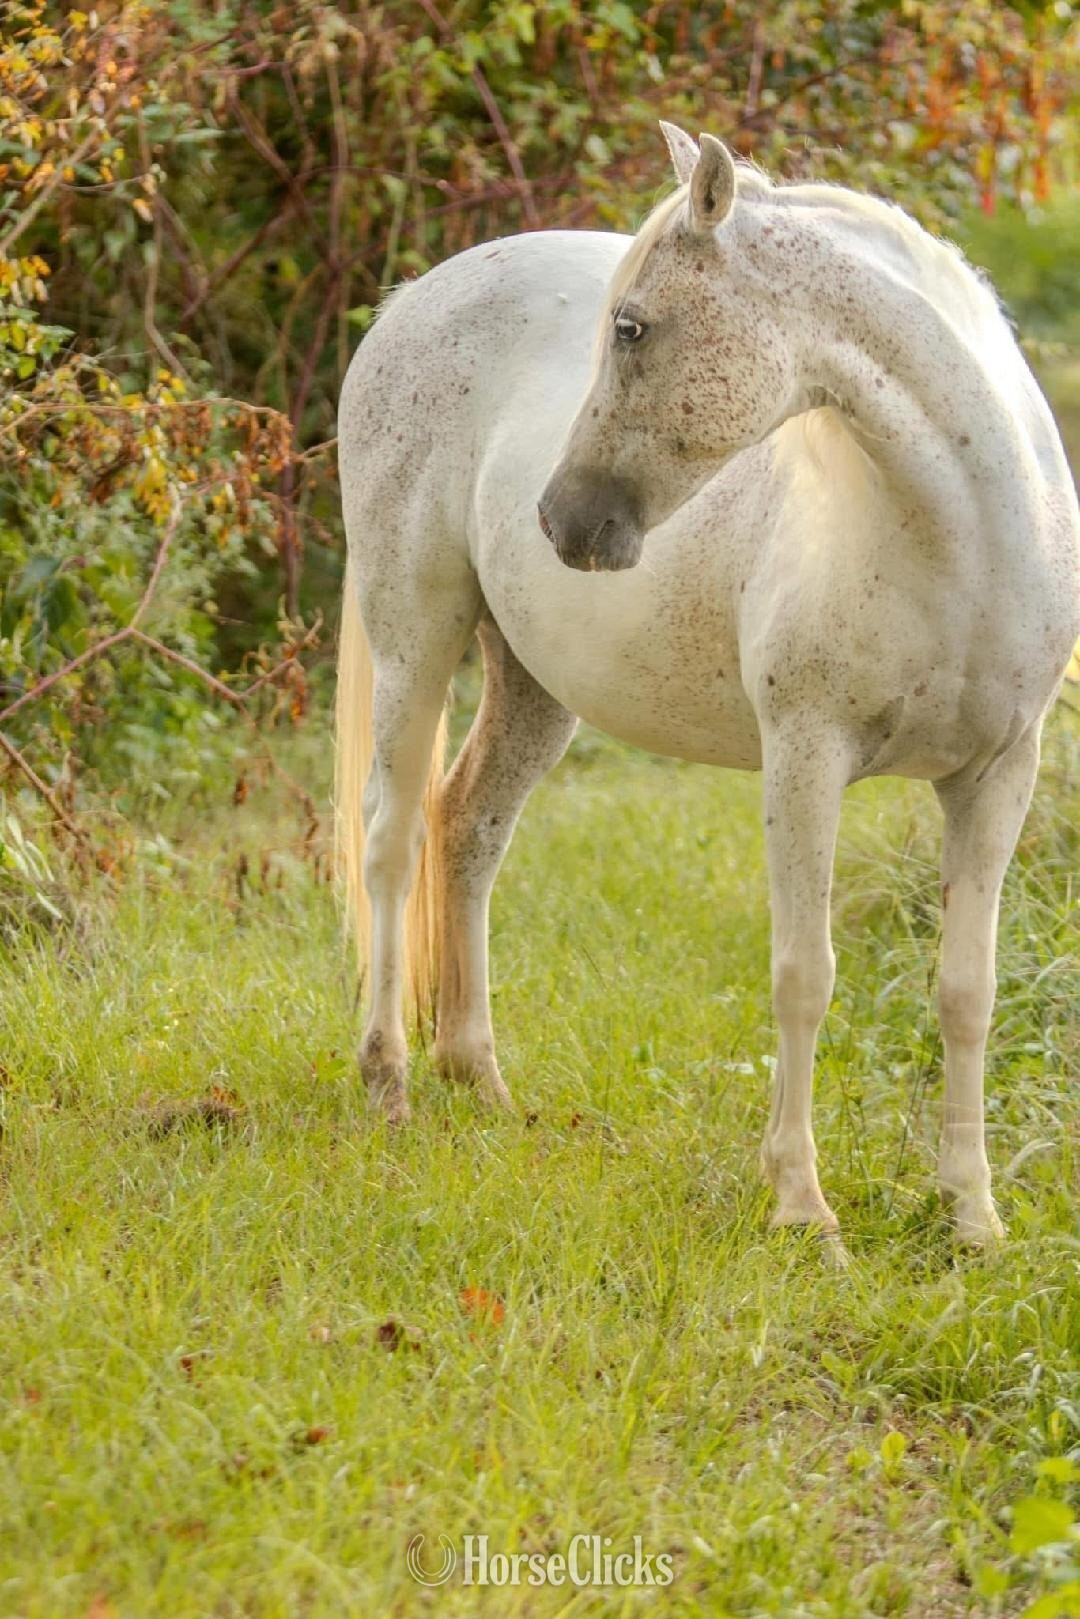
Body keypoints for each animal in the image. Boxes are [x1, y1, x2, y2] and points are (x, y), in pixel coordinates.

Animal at [334, 124, 1080, 1249]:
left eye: (632, 327)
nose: (561, 517)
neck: (972, 537)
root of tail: (411, 298)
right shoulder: (806, 758)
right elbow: (805, 976)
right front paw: (803, 1206)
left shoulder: (999, 775)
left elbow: (967, 989)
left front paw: (972, 1215)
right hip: (413, 630)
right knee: (390, 837)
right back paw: (389, 1082)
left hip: (535, 684)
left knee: (469, 827)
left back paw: (482, 1081)